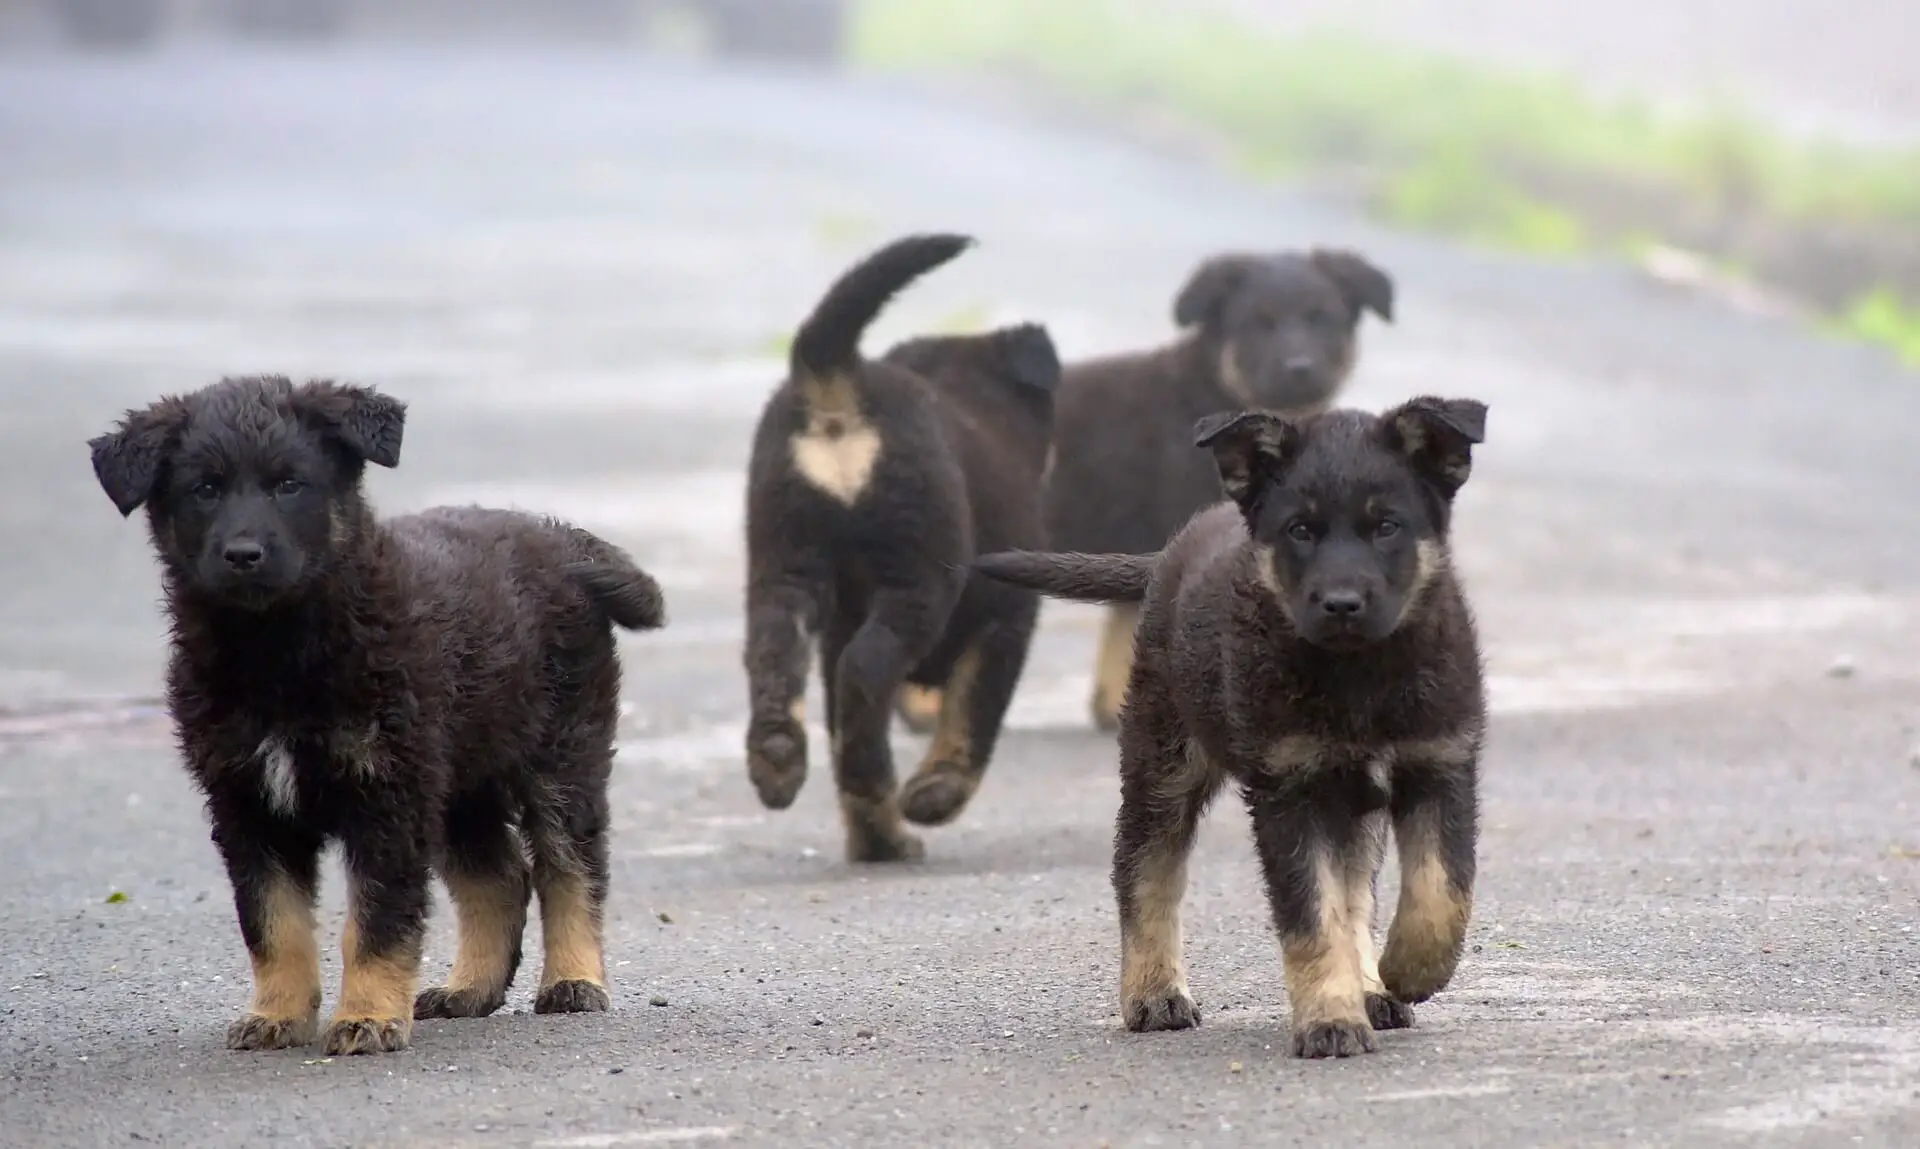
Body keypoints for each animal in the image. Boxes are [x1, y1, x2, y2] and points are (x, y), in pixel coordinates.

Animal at [88, 374, 668, 1060]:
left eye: (291, 485)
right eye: (203, 490)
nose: (243, 554)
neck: (279, 650)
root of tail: (562, 540)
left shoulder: (386, 795)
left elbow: (376, 920)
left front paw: (367, 1016)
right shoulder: (246, 804)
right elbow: (272, 924)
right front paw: (278, 1015)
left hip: (560, 755)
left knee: (571, 866)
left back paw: (574, 980)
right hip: (459, 780)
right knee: (500, 878)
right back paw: (469, 989)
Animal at [737, 234, 1067, 864]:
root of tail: (840, 382)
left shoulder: (836, 625)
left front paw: (876, 838)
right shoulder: (1009, 619)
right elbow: (972, 715)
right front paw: (935, 794)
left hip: (783, 561)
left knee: (779, 656)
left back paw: (779, 760)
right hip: (917, 576)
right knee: (867, 672)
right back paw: (877, 782)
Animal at [975, 395, 1482, 1060]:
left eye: (1387, 527)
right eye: (1300, 530)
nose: (1341, 603)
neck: (1359, 675)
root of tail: (1168, 555)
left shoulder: (1441, 764)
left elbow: (1440, 890)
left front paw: (1404, 972)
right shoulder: (1288, 789)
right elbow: (1311, 916)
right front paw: (1330, 1021)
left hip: (1347, 804)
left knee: (1355, 891)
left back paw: (1371, 986)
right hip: (1164, 760)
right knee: (1145, 868)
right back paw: (1154, 993)